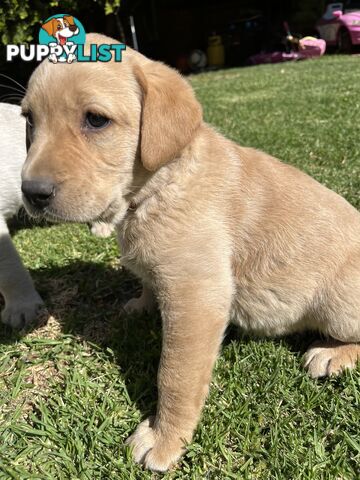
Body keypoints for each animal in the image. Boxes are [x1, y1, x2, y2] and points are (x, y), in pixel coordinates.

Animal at [21, 34, 358, 472]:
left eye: (95, 120)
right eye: (28, 120)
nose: (31, 193)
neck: (157, 188)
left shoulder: (196, 296)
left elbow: (175, 376)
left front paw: (164, 439)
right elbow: (147, 282)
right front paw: (140, 303)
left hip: (338, 304)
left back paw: (333, 355)